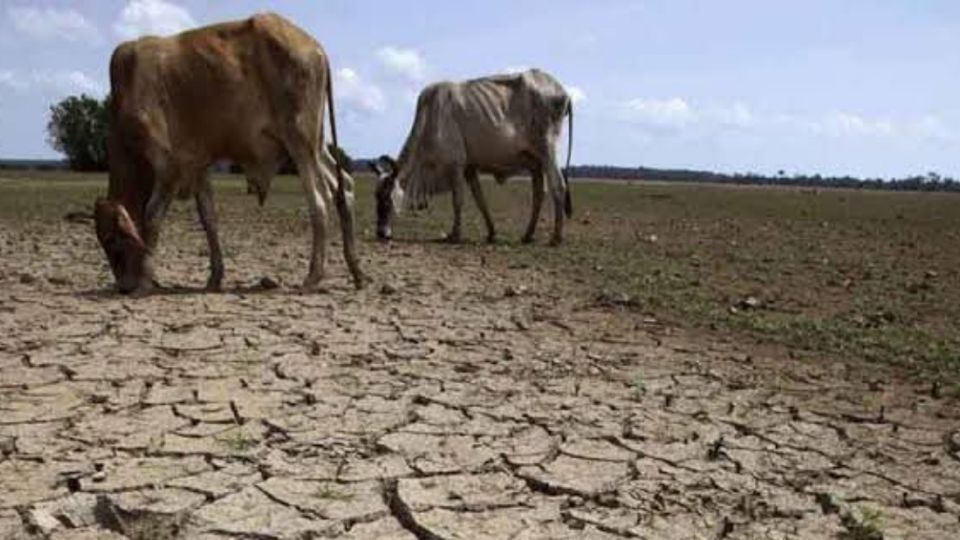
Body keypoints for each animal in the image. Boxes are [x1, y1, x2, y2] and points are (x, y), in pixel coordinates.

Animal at [94, 11, 364, 296]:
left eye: (113, 241)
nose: (124, 286)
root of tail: (315, 47)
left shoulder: (169, 166)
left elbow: (152, 216)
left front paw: (145, 280)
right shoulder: (198, 164)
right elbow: (208, 218)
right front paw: (215, 277)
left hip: (300, 140)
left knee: (319, 201)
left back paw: (313, 276)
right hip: (317, 145)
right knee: (344, 187)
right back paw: (356, 270)